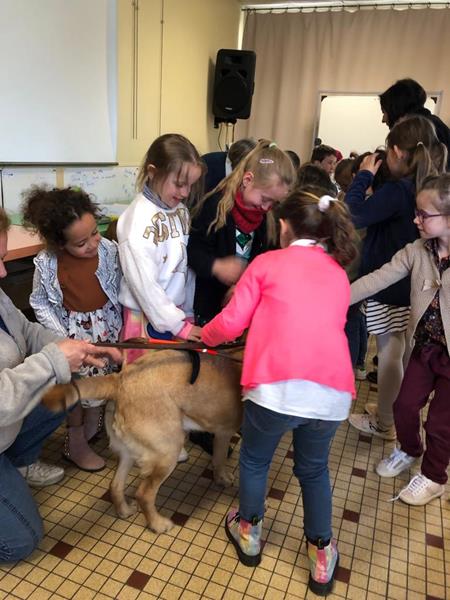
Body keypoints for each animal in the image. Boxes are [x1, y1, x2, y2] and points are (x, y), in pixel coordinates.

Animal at [42, 350, 243, 532]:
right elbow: (221, 459)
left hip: (128, 452)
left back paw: (124, 510)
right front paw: (224, 479)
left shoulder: (222, 432)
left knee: (115, 485)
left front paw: (221, 478)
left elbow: (218, 459)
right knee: (144, 494)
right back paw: (157, 524)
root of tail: (119, 379)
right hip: (168, 451)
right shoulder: (225, 433)